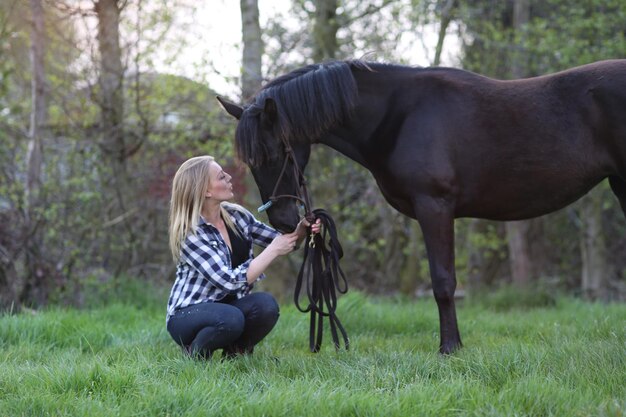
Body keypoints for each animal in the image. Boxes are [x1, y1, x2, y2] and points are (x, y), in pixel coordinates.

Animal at [217, 57, 624, 352]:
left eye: (273, 154)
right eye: (250, 161)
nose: (284, 220)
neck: (398, 115)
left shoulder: (435, 207)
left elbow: (443, 282)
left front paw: (449, 348)